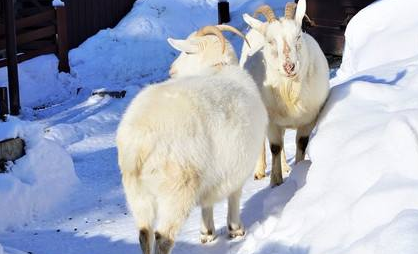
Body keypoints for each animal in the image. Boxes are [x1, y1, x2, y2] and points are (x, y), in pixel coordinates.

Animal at [242, 0, 330, 186]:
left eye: (298, 36)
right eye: (270, 41)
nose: (289, 66)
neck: (290, 91)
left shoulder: (309, 118)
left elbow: (301, 143)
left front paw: (298, 170)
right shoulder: (271, 121)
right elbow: (275, 147)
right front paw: (275, 182)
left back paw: (286, 166)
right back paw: (259, 171)